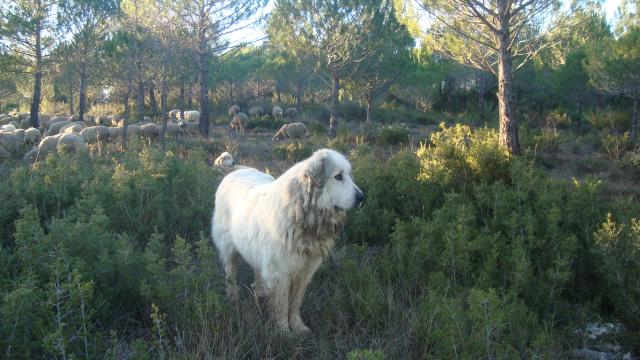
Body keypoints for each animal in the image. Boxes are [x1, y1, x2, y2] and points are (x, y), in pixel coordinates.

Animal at [210, 148, 360, 334]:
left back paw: (260, 292)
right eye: (338, 177)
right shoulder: (281, 273)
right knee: (230, 273)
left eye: (349, 175)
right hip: (229, 248)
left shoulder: (305, 270)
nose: (361, 197)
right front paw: (284, 331)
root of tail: (235, 170)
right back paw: (233, 297)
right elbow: (282, 304)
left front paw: (298, 326)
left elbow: (295, 303)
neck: (300, 213)